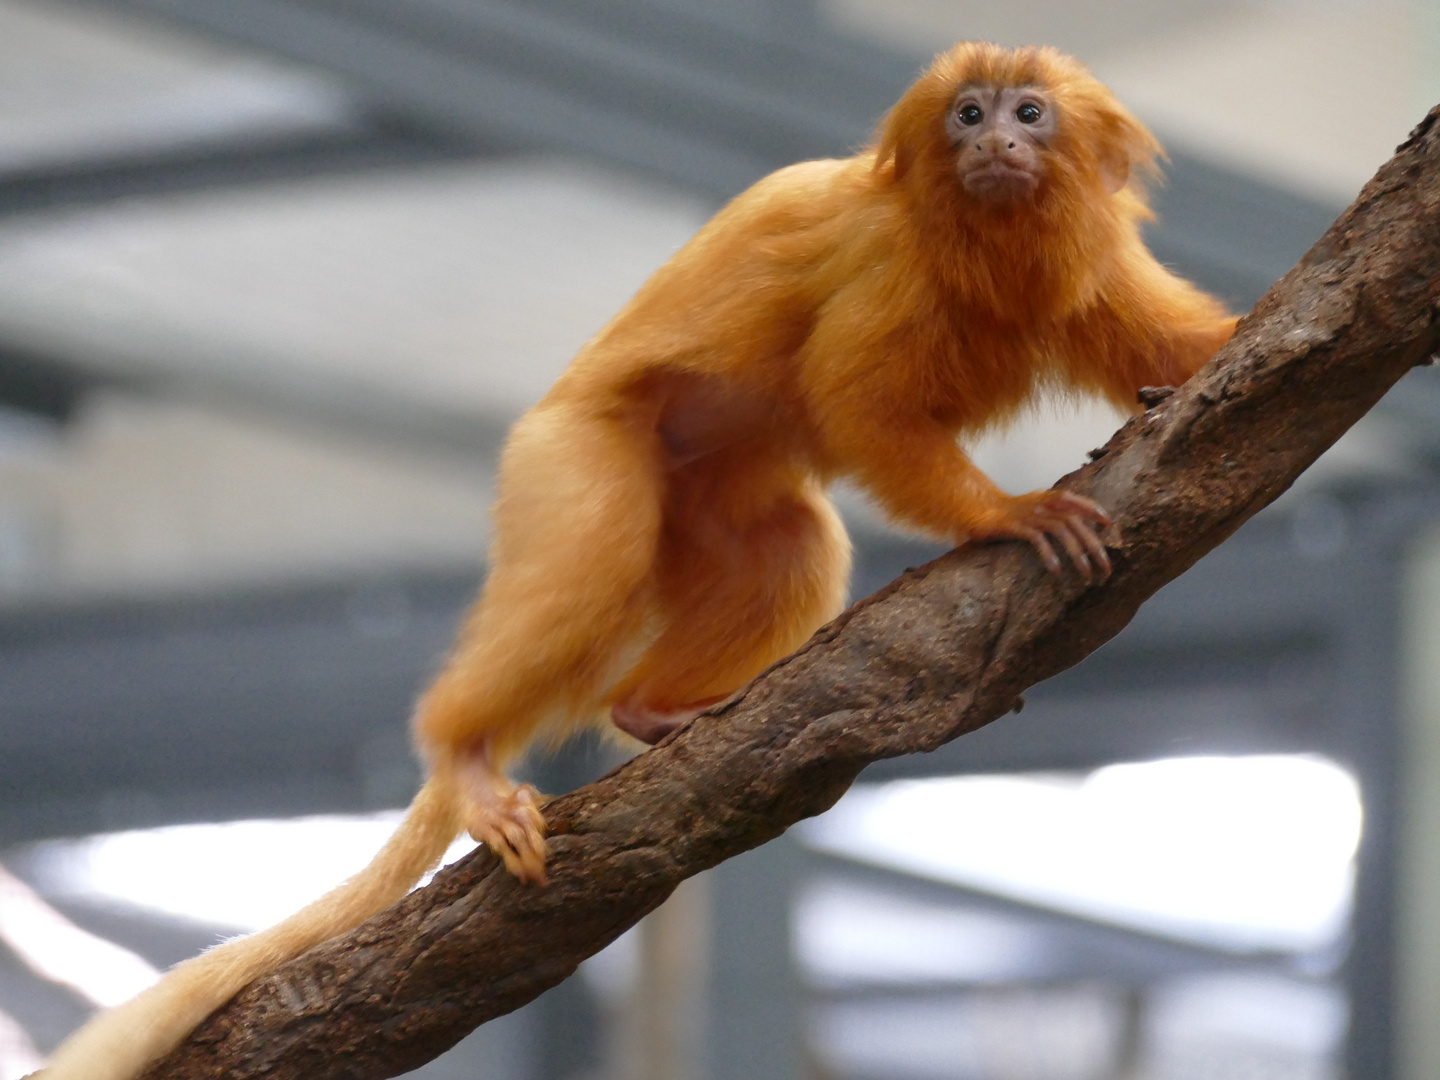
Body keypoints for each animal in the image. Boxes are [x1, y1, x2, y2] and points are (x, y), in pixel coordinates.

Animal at [42, 42, 1238, 1080]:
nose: (994, 141)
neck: (984, 233)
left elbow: (1173, 348)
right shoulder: (887, 269)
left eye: (1028, 112)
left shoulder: (1087, 264)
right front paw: (1009, 514)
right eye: (967, 115)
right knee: (592, 558)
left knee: (791, 545)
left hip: (712, 500)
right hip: (570, 455)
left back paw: (655, 711)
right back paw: (465, 757)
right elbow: (855, 397)